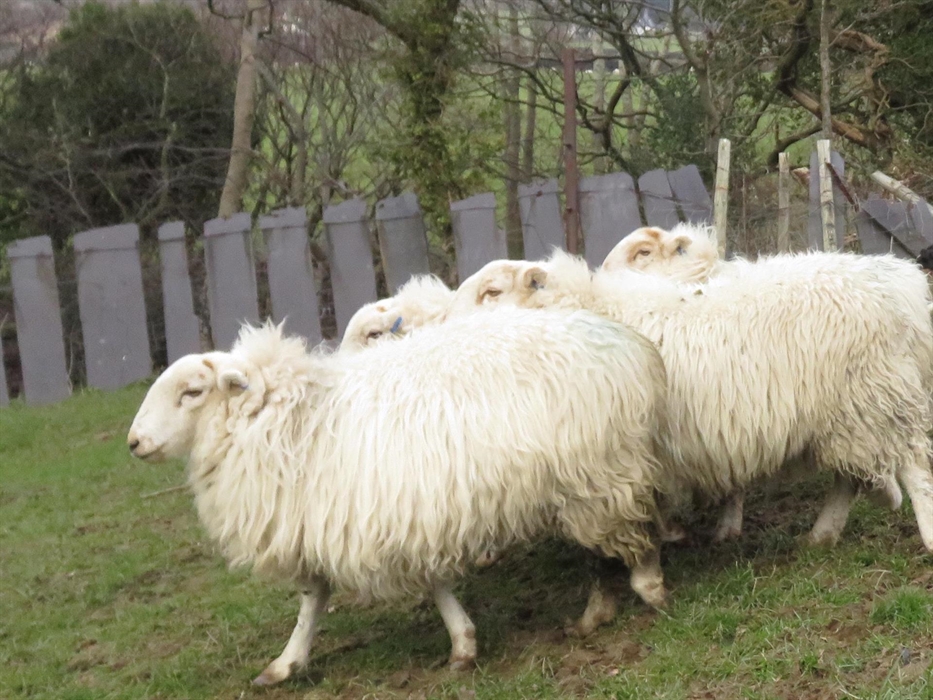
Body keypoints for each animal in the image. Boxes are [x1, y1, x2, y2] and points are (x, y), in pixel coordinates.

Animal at [127, 311, 670, 685]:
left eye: (192, 392)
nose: (133, 443)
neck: (294, 422)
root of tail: (633, 344)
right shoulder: (380, 518)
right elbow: (324, 597)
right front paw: (287, 664)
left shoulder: (366, 518)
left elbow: (325, 596)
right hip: (582, 481)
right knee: (604, 546)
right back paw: (597, 613)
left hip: (602, 469)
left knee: (629, 535)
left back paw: (649, 590)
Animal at [449, 249, 933, 553]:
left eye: (492, 291)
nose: (443, 322)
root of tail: (903, 285)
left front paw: (671, 535)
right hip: (849, 413)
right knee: (849, 477)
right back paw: (824, 534)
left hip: (877, 395)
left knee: (913, 467)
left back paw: (923, 534)